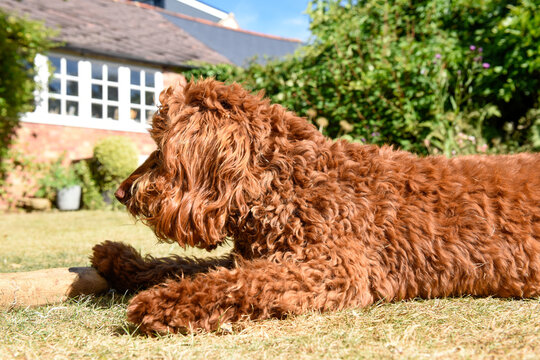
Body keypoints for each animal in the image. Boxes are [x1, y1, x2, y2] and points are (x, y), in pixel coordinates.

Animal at [90, 79, 536, 334]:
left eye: (161, 149)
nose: (121, 192)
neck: (285, 183)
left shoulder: (334, 268)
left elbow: (238, 283)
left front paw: (164, 303)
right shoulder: (258, 254)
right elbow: (188, 266)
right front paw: (121, 261)